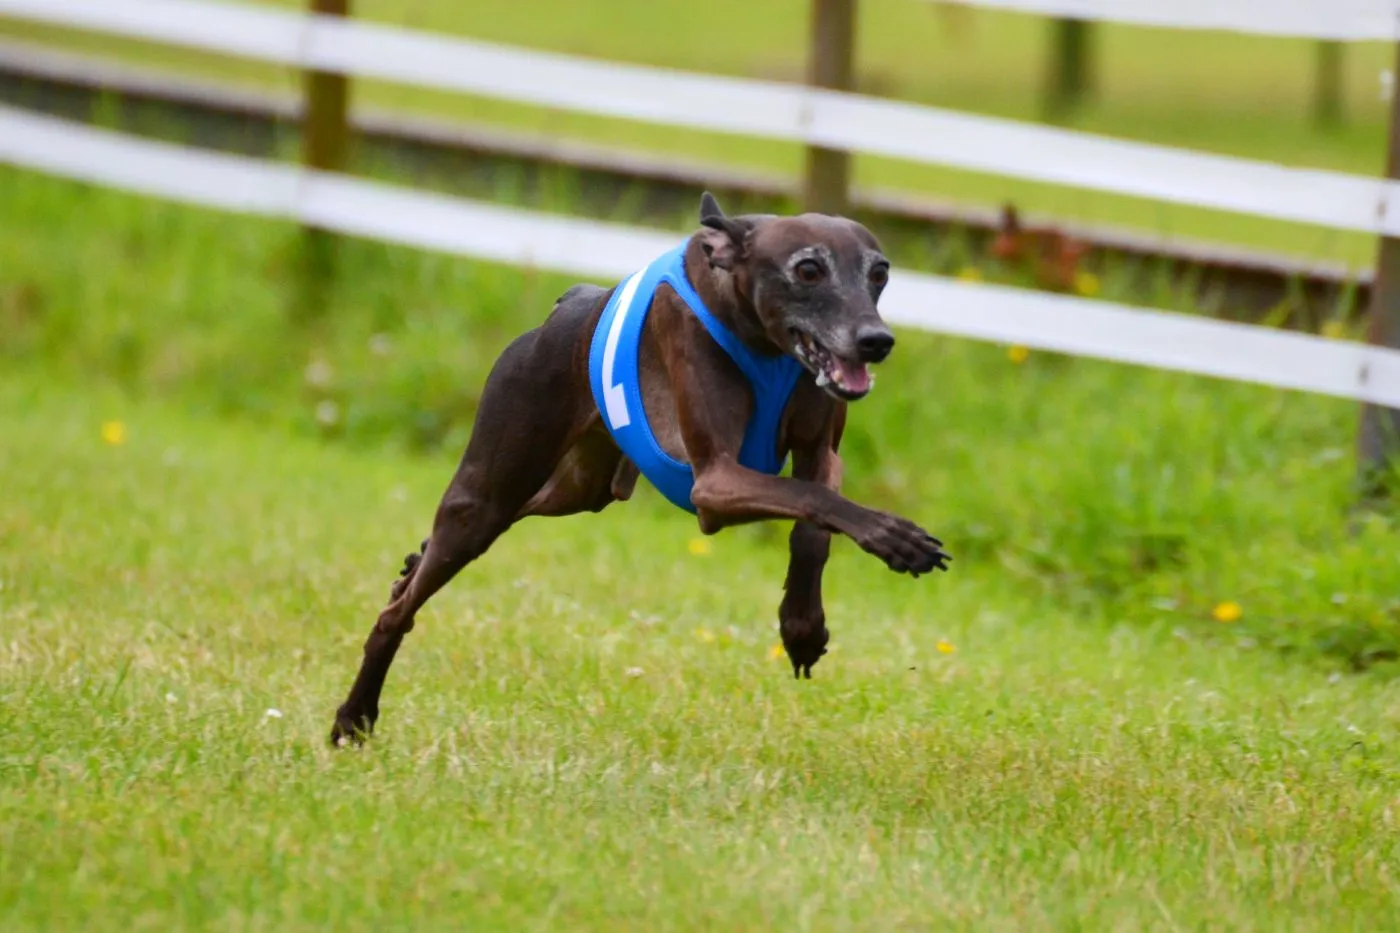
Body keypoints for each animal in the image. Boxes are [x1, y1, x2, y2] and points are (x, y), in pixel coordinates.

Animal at [330, 191, 952, 745]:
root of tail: (568, 305)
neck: (760, 336)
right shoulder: (714, 484)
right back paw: (354, 716)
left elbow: (817, 520)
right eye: (808, 269)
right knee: (400, 609)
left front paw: (801, 625)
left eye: (879, 274)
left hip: (578, 488)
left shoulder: (822, 452)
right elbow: (813, 501)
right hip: (486, 494)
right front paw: (897, 538)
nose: (876, 341)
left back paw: (410, 566)